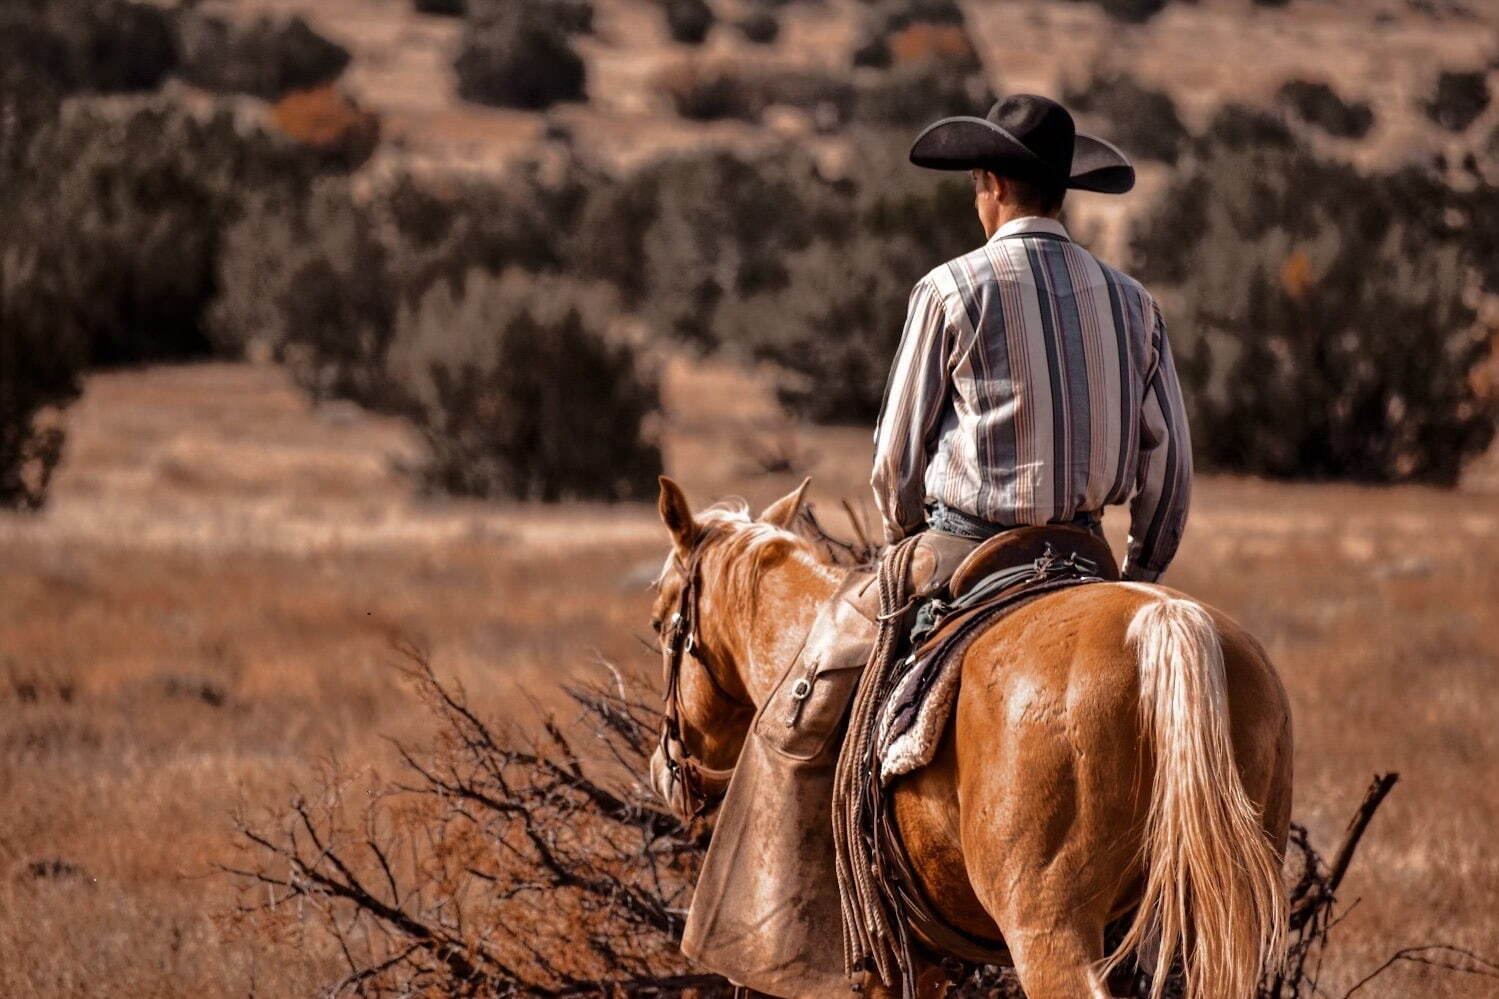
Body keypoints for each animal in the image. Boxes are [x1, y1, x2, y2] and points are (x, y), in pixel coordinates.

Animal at [650, 477, 1295, 996]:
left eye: (660, 623)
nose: (665, 770)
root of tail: (1163, 622)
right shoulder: (929, 959)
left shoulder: (884, 964)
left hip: (1050, 931)